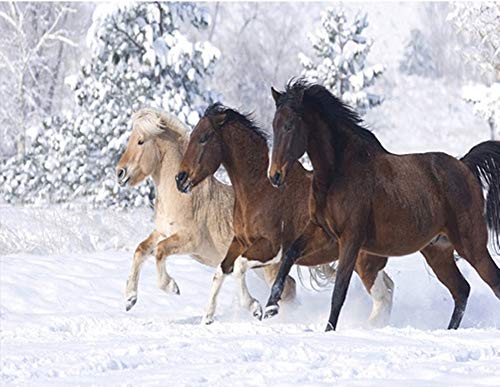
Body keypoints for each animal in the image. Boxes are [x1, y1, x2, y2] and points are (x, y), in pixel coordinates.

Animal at [116, 107, 296, 314]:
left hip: (268, 265)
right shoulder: (162, 232)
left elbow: (160, 251)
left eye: (140, 141)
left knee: (288, 288)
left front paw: (172, 287)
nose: (119, 172)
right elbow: (141, 250)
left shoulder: (189, 240)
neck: (181, 195)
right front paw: (130, 299)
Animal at [176, 104, 394, 328]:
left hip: (364, 261)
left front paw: (256, 308)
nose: (180, 179)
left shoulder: (272, 248)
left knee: (382, 297)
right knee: (388, 288)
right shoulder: (240, 241)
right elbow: (221, 270)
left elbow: (238, 267)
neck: (259, 189)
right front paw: (207, 318)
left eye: (204, 137)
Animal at [266, 79, 500, 330]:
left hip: (471, 245)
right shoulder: (321, 231)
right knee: (461, 290)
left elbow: (339, 291)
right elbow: (289, 255)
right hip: (438, 251)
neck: (338, 172)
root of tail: (464, 165)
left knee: (492, 282)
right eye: (274, 125)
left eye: (289, 125)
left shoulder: (351, 239)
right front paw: (270, 308)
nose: (275, 176)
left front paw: (328, 330)